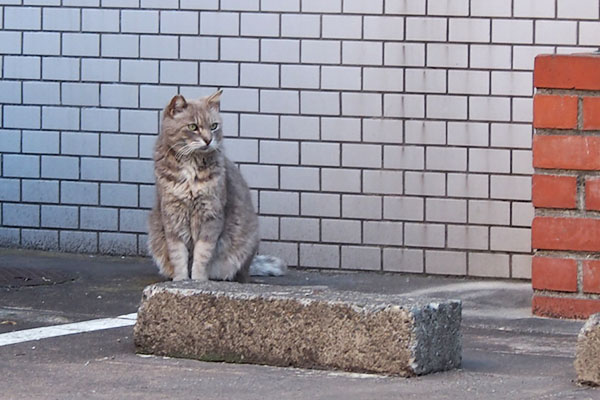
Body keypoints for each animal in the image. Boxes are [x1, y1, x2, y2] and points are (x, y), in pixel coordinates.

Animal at [146, 91, 284, 282]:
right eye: (193, 127)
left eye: (213, 126)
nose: (208, 140)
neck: (191, 165)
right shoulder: (173, 217)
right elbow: (178, 255)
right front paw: (181, 280)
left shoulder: (211, 215)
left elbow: (202, 255)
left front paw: (198, 281)